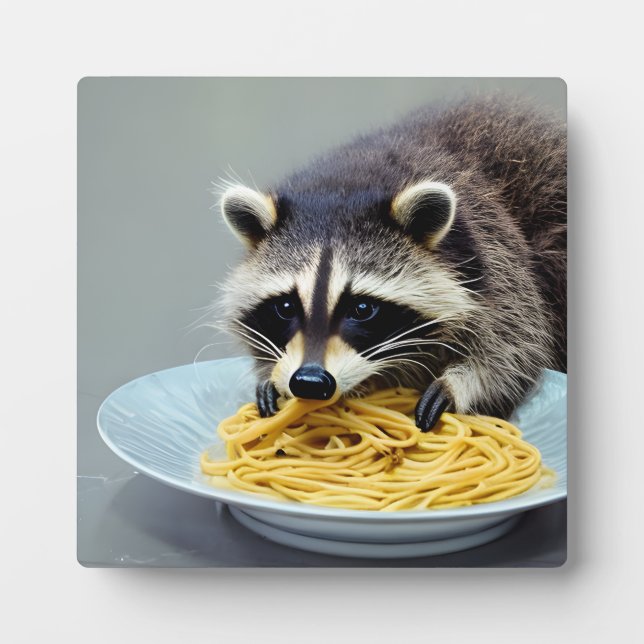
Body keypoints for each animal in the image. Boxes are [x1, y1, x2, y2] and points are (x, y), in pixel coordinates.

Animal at [216, 95, 566, 431]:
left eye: (362, 308)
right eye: (286, 307)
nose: (310, 382)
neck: (345, 182)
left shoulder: (495, 254)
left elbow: (517, 346)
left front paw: (461, 384)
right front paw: (270, 376)